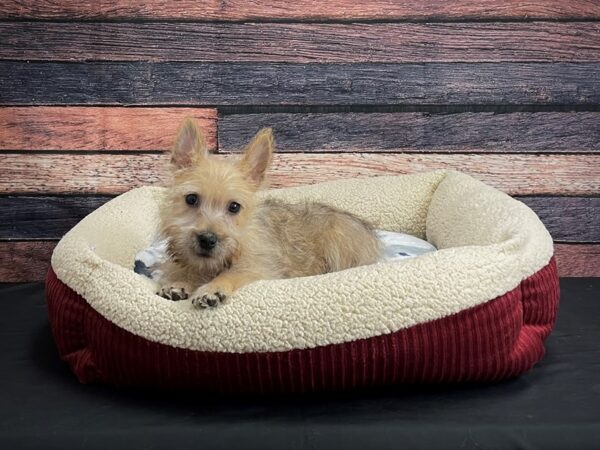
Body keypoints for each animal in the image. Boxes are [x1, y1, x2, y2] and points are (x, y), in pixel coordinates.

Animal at [155, 118, 380, 310]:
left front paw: (213, 288)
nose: (207, 239)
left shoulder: (259, 269)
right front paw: (179, 281)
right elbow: (185, 270)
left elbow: (234, 274)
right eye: (191, 199)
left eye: (234, 207)